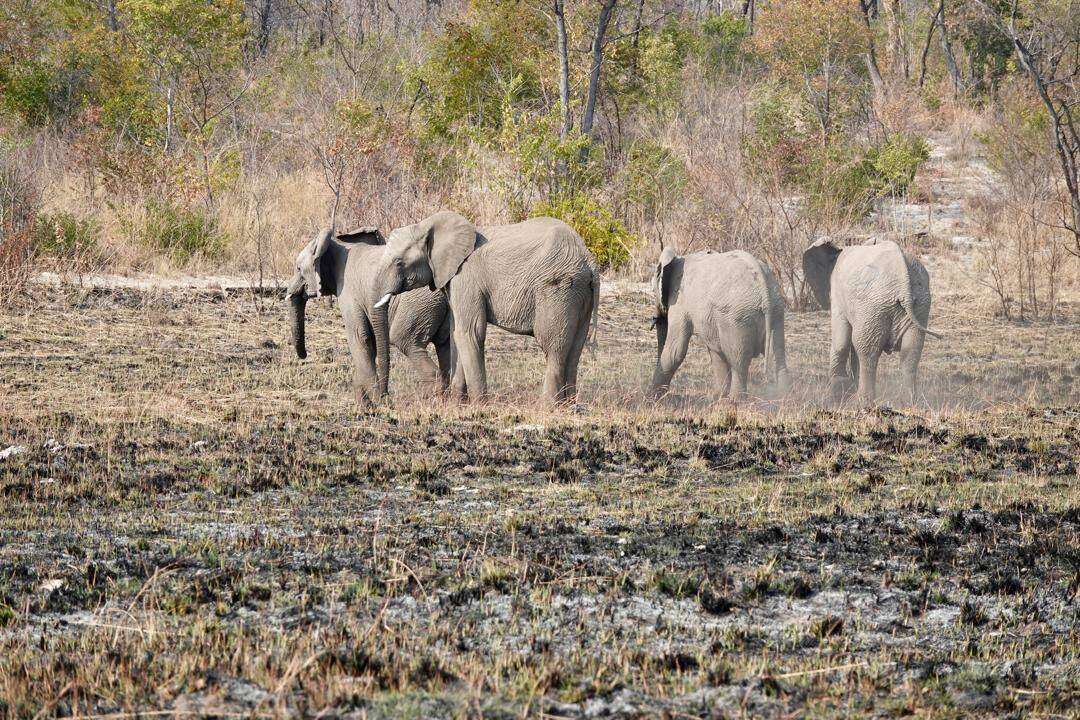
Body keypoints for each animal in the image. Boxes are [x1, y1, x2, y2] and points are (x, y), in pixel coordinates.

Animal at [282, 226, 451, 405]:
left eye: (298, 268)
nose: (304, 355)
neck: (337, 243)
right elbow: (370, 342)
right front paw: (364, 401)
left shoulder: (348, 291)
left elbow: (360, 336)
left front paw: (373, 402)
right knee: (445, 345)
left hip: (417, 303)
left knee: (405, 341)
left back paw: (426, 400)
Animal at [371, 212, 600, 405]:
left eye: (398, 262)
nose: (385, 398)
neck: (429, 225)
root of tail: (589, 261)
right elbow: (457, 334)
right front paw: (456, 405)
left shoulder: (466, 277)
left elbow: (469, 332)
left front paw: (479, 405)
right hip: (580, 292)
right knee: (576, 346)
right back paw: (568, 406)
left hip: (557, 287)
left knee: (553, 344)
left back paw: (546, 407)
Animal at [643, 249, 790, 399]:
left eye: (653, 290)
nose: (656, 318)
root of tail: (763, 284)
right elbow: (716, 351)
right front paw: (718, 396)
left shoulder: (679, 300)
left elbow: (675, 351)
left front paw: (649, 398)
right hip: (776, 310)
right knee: (777, 354)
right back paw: (784, 396)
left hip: (737, 317)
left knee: (739, 361)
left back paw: (735, 401)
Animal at [799, 237, 941, 403]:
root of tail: (903, 279)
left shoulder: (838, 295)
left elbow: (841, 341)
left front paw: (837, 394)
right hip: (919, 304)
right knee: (911, 350)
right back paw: (908, 401)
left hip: (874, 305)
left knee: (867, 350)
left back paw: (860, 401)